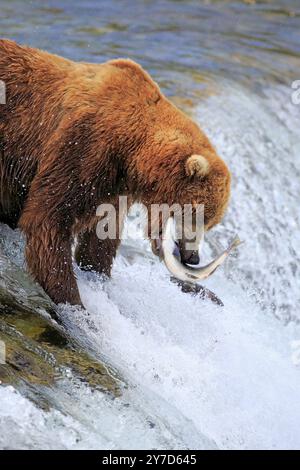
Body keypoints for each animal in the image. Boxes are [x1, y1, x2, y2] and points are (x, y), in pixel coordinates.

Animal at [0, 39, 230, 304]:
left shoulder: (114, 185)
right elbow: (49, 219)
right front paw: (73, 300)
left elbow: (101, 237)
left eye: (210, 222)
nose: (193, 257)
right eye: (197, 215)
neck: (132, 150)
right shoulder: (83, 147)